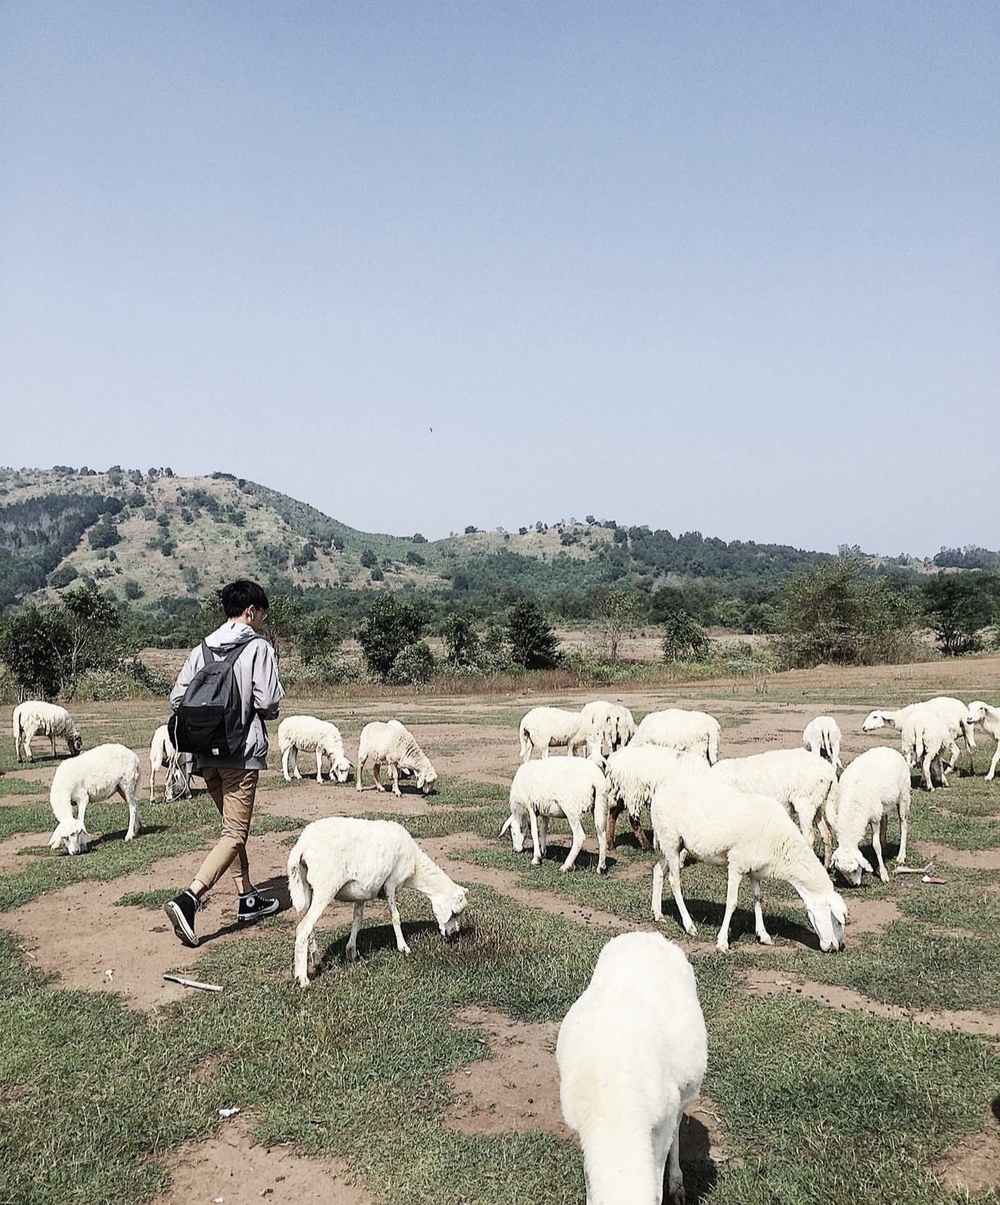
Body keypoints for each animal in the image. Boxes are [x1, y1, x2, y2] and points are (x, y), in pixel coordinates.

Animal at [284, 809, 467, 988]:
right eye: (454, 913)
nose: (454, 934)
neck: (415, 868)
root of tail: (301, 846)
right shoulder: (391, 883)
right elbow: (396, 917)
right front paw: (403, 948)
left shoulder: (361, 893)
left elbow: (357, 920)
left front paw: (351, 952)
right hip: (325, 887)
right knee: (303, 929)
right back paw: (303, 979)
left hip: (307, 888)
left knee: (310, 928)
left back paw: (317, 963)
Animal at [655, 771, 848, 949]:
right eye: (837, 920)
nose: (835, 947)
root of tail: (662, 787)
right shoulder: (736, 864)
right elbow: (731, 903)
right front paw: (722, 941)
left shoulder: (755, 869)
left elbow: (758, 898)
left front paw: (763, 935)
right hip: (671, 840)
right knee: (674, 881)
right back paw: (689, 926)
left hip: (676, 845)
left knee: (658, 869)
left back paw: (657, 914)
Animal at [708, 742, 843, 867]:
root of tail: (830, 772)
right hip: (817, 803)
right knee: (826, 834)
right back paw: (826, 865)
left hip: (805, 803)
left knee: (809, 837)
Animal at [828, 742, 915, 886]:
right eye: (842, 872)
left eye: (856, 869)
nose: (854, 885)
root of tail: (889, 749)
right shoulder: (873, 813)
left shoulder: (874, 818)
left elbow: (876, 846)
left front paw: (883, 874)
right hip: (882, 805)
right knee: (885, 818)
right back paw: (885, 842)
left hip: (904, 796)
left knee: (903, 823)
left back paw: (901, 855)